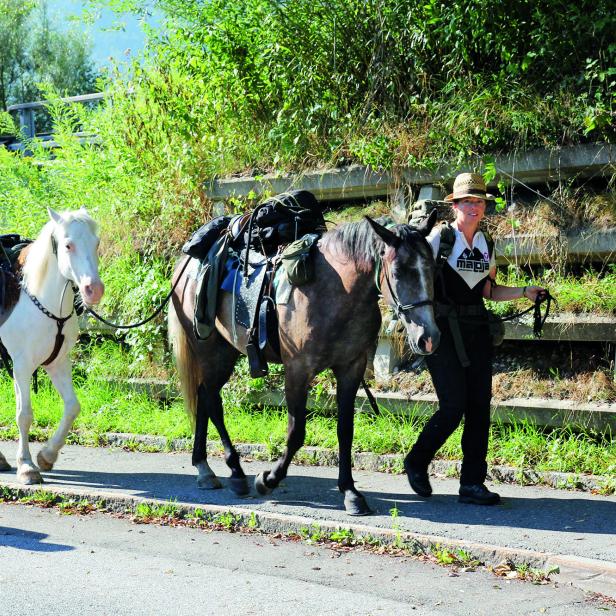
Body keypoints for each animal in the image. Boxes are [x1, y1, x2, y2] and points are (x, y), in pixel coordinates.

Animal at [0, 209, 104, 484]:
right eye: (68, 245)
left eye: (96, 243)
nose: (94, 289)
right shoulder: (22, 366)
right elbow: (24, 414)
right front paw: (26, 466)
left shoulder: (58, 363)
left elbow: (72, 407)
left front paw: (47, 455)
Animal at [168, 213, 438, 516]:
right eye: (399, 271)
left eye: (432, 268)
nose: (428, 338)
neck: (334, 292)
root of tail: (184, 267)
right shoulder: (298, 371)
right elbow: (296, 432)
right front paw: (268, 480)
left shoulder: (350, 369)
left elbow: (345, 431)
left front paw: (350, 492)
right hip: (210, 350)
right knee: (213, 402)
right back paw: (235, 471)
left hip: (225, 352)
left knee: (204, 396)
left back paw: (204, 468)